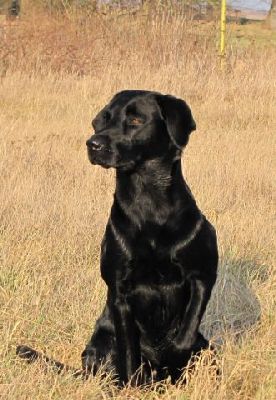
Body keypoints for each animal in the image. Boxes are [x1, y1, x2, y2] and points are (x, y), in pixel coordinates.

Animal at [17, 90, 220, 384]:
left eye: (135, 120)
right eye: (103, 119)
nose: (93, 144)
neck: (149, 205)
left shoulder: (202, 275)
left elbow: (184, 337)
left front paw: (171, 362)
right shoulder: (119, 291)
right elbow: (129, 353)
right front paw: (136, 385)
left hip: (209, 347)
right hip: (100, 340)